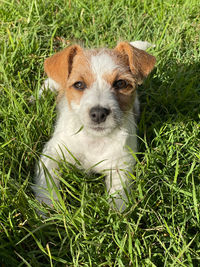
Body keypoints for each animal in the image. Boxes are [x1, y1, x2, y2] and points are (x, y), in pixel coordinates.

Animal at [32, 40, 155, 211]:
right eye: (79, 84)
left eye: (121, 83)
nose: (98, 113)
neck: (94, 140)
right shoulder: (51, 154)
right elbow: (47, 183)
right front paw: (48, 208)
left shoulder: (121, 165)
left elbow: (119, 194)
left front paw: (116, 214)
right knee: (48, 83)